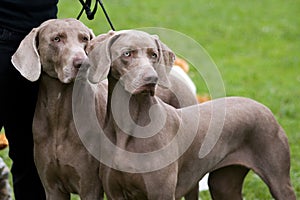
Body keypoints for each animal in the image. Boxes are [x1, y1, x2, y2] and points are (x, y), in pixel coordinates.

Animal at [86, 30, 296, 200]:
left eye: (154, 55)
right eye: (127, 54)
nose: (151, 79)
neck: (128, 129)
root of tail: (263, 106)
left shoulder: (161, 193)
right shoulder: (114, 193)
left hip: (278, 179)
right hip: (224, 184)